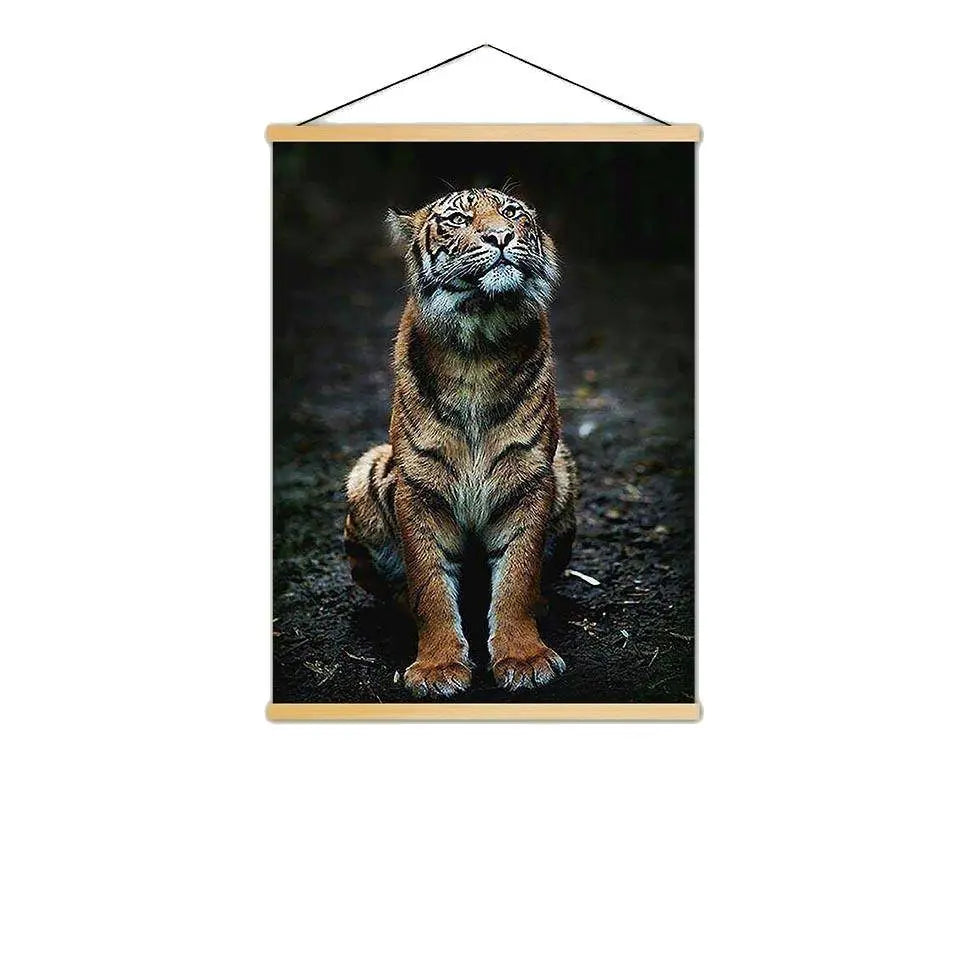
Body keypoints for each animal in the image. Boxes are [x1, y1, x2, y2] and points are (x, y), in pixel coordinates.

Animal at [344, 187, 578, 697]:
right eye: (457, 219)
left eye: (512, 213)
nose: (501, 236)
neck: (478, 344)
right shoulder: (418, 487)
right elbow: (430, 583)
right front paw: (437, 668)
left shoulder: (531, 478)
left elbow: (517, 578)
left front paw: (524, 658)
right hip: (365, 475)